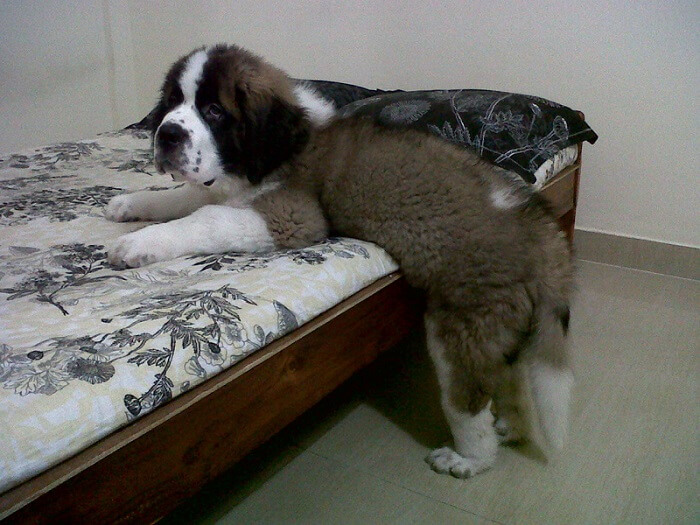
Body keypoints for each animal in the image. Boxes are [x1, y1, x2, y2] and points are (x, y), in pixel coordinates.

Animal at [105, 46, 576, 478]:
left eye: (214, 111)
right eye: (171, 104)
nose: (165, 134)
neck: (278, 148)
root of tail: (539, 227)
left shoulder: (293, 216)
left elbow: (206, 217)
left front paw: (135, 244)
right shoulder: (220, 186)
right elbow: (185, 197)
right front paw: (131, 205)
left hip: (465, 319)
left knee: (468, 395)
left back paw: (470, 457)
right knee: (511, 380)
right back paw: (510, 428)